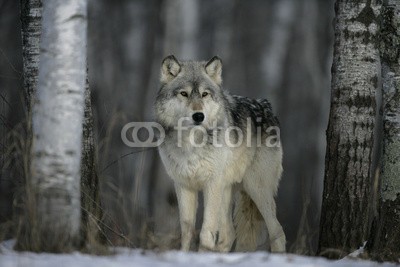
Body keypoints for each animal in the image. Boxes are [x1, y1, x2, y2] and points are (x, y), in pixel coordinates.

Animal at [153, 55, 284, 253]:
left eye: (204, 94)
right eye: (184, 94)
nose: (198, 116)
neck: (190, 142)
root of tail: (267, 106)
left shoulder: (211, 184)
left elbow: (205, 232)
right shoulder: (183, 185)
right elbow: (187, 232)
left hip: (256, 188)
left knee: (277, 231)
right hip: (227, 191)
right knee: (229, 234)